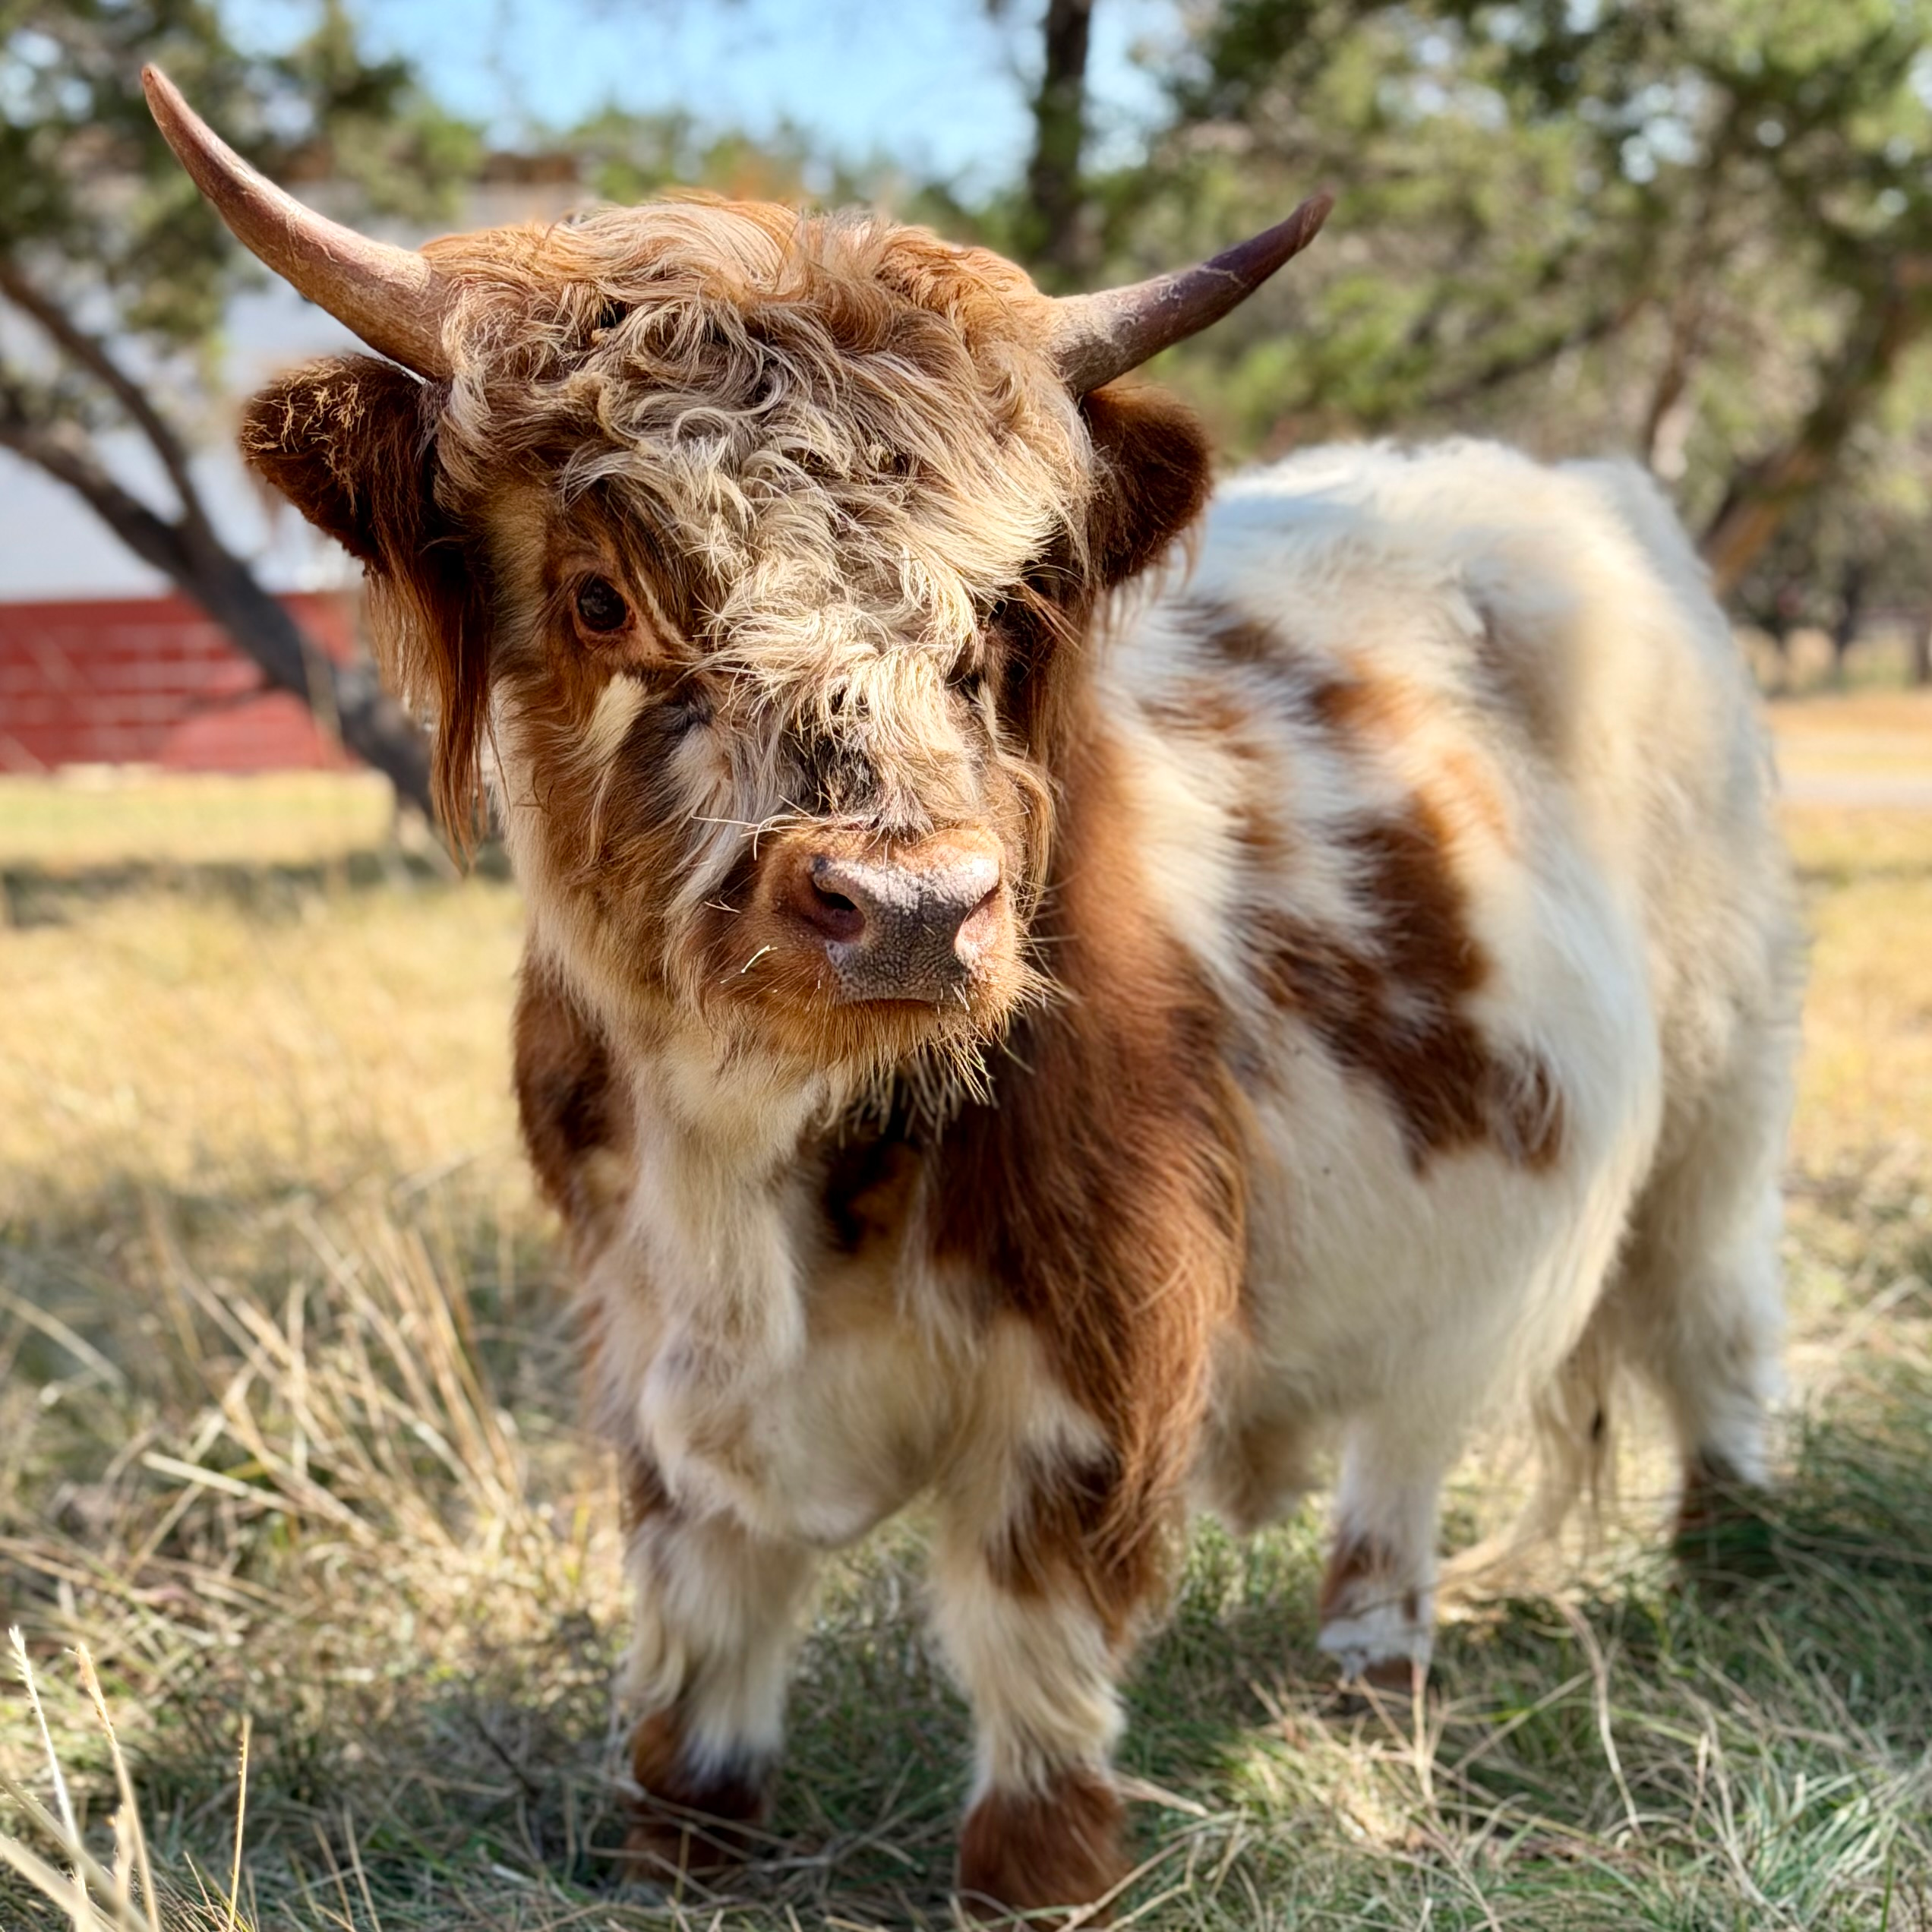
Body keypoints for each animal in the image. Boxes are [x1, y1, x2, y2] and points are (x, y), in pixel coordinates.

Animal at [149, 67, 1800, 1921]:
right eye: (598, 593)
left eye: (1003, 612)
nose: (910, 911)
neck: (749, 1147)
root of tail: (1544, 482)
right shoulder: (642, 1332)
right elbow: (697, 1612)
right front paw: (679, 1839)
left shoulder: (1098, 1346)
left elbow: (1031, 1624)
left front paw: (1037, 1869)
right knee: (1410, 1431)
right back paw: (1373, 1667)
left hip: (1723, 1079)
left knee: (1700, 1310)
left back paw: (1715, 1555)